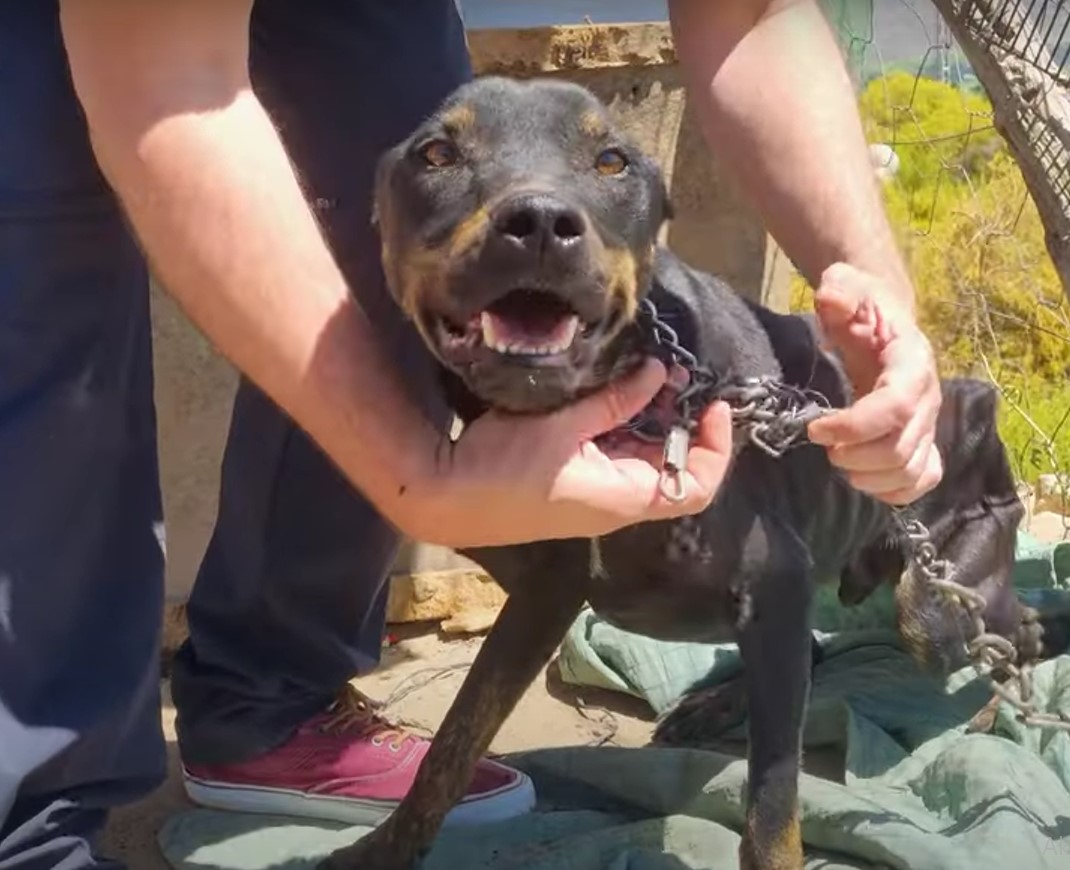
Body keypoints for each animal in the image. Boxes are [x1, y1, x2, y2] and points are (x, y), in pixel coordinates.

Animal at [314, 76, 1061, 868]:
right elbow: (454, 743)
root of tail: (975, 404)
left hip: (940, 594)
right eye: (436, 154)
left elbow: (774, 802)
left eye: (612, 161)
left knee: (1007, 632)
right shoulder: (544, 596)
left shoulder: (777, 581)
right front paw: (381, 851)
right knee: (825, 653)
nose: (540, 222)